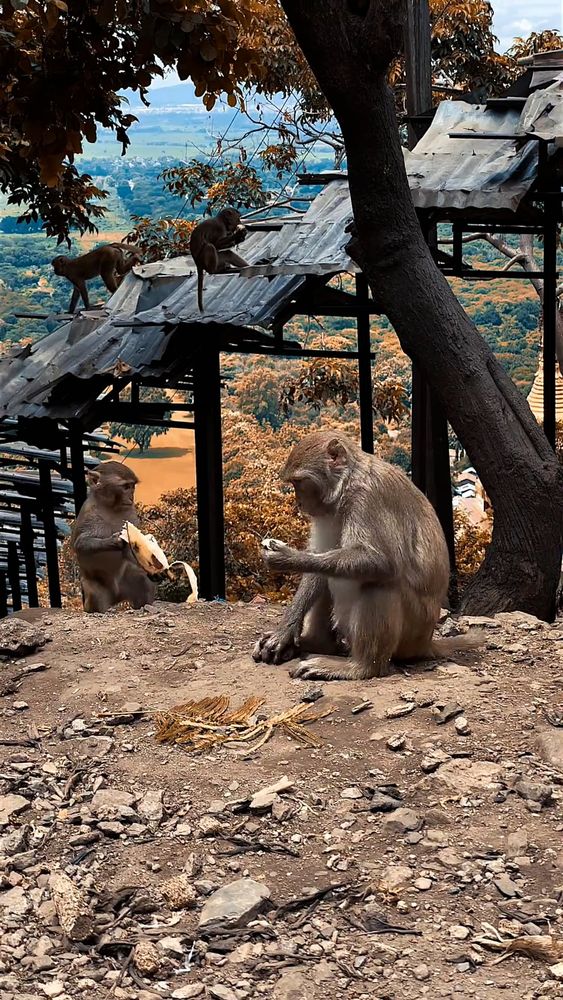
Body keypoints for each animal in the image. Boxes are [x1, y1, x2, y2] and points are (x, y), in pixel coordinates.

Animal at [70, 461, 155, 614]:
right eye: (126, 487)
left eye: (132, 486)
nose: (131, 497)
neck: (110, 507)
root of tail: (116, 596)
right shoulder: (89, 514)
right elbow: (81, 543)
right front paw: (114, 541)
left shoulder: (130, 512)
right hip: (96, 587)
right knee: (95, 595)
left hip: (126, 582)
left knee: (141, 582)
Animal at [252, 430, 483, 681]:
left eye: (299, 482)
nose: (300, 503)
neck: (347, 483)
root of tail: (427, 642)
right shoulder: (327, 511)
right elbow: (320, 557)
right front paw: (284, 632)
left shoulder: (368, 496)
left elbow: (382, 562)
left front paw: (286, 557)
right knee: (330, 571)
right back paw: (316, 643)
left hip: (413, 631)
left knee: (380, 583)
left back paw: (361, 667)